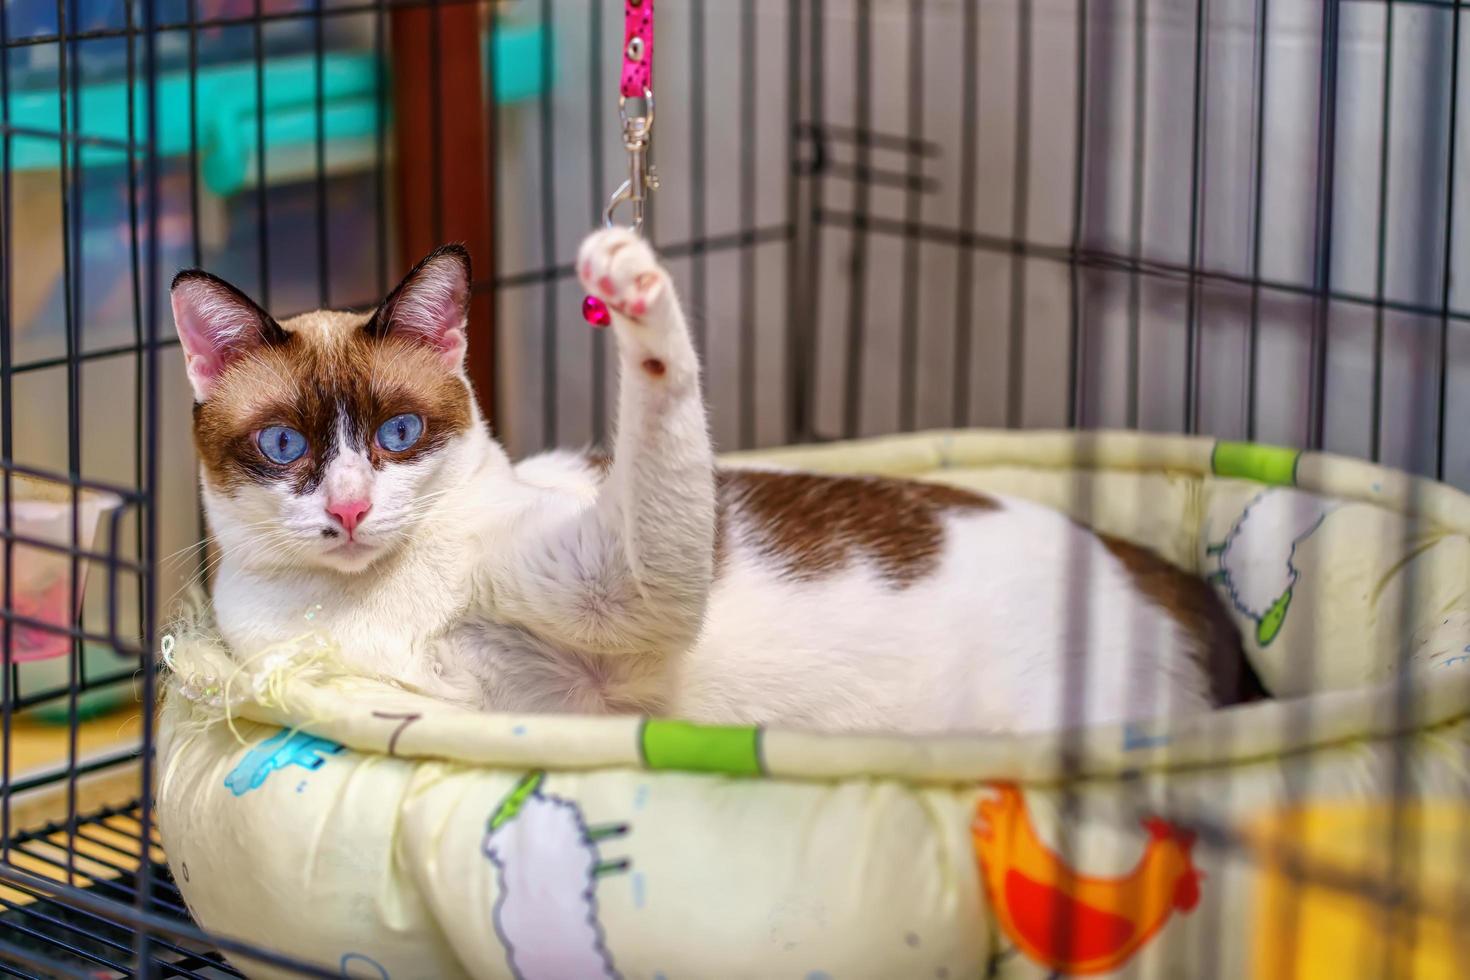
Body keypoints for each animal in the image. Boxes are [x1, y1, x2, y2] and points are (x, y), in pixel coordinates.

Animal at [169, 230, 1252, 734]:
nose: (350, 507)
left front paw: (635, 289)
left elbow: (660, 397)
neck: (371, 604)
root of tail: (1163, 575)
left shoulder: (620, 597)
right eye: (282, 445)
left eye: (397, 433)